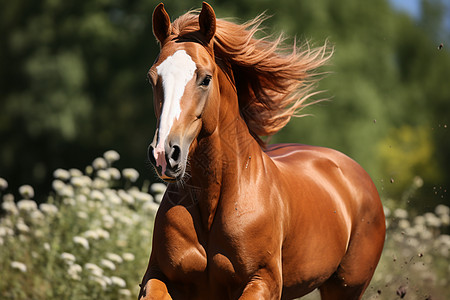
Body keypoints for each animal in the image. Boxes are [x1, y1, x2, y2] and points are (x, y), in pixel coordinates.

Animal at [140, 2, 384, 300]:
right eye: (152, 78)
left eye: (205, 79)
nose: (164, 155)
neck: (214, 199)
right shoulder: (159, 276)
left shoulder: (262, 281)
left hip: (345, 287)